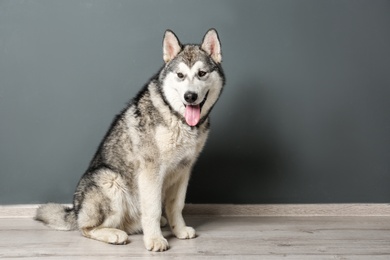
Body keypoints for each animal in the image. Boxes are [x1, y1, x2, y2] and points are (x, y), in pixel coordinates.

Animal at [36, 28, 225, 252]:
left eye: (201, 73)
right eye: (180, 75)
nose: (190, 96)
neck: (176, 117)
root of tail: (75, 209)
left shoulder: (184, 169)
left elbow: (176, 205)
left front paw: (178, 230)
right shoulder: (151, 170)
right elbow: (152, 209)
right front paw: (154, 240)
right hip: (111, 180)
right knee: (86, 228)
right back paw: (114, 234)